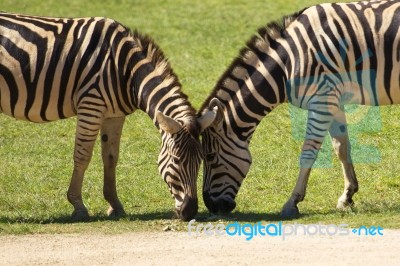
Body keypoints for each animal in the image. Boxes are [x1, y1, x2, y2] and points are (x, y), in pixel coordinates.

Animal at [0, 11, 217, 220]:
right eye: (176, 160)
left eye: (201, 160)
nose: (190, 212)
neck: (127, 71)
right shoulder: (91, 105)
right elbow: (82, 156)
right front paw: (78, 206)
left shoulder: (113, 115)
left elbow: (111, 157)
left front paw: (115, 205)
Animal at [198, 0, 398, 218]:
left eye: (210, 157)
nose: (211, 207)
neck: (287, 64)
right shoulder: (334, 99)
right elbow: (341, 147)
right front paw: (347, 195)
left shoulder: (321, 100)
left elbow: (308, 152)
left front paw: (292, 202)